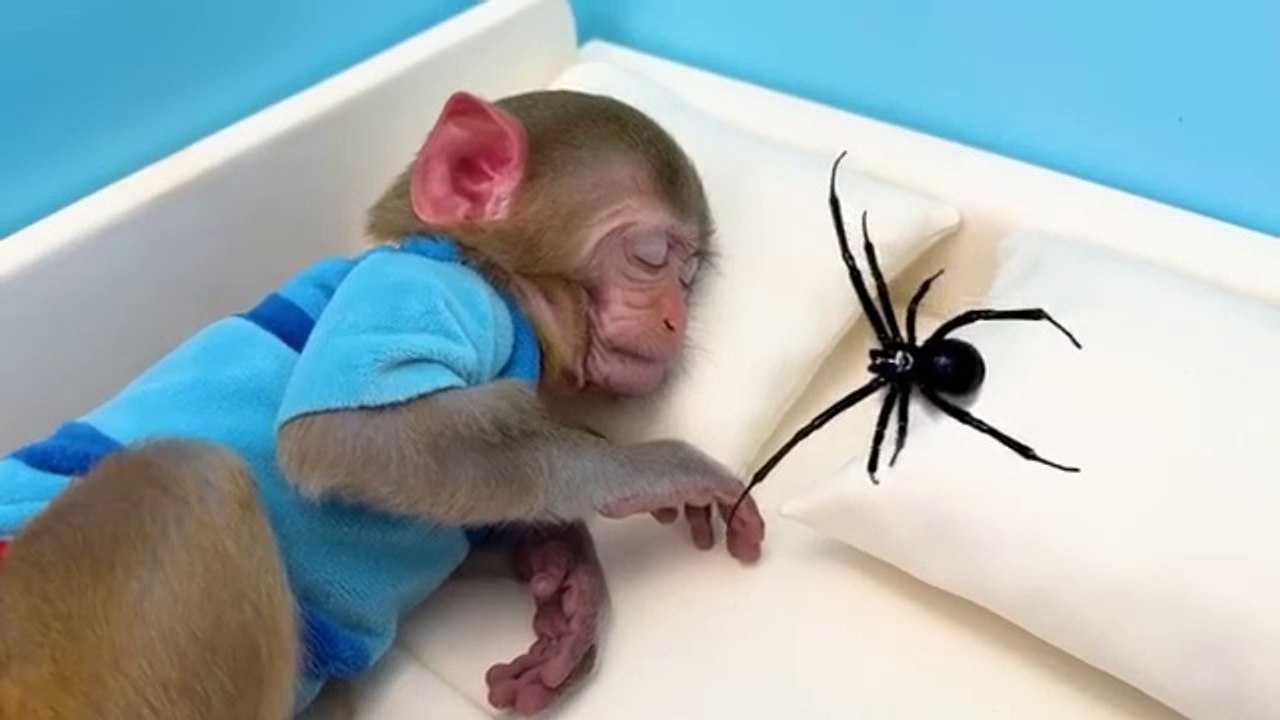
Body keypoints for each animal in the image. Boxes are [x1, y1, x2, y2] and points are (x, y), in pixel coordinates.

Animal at [0, 89, 766, 719]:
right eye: (651, 256)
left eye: (689, 277)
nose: (674, 318)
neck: (496, 278)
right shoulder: (428, 293)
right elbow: (342, 440)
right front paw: (654, 469)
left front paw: (565, 599)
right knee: (189, 478)